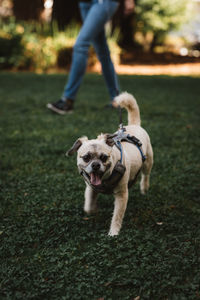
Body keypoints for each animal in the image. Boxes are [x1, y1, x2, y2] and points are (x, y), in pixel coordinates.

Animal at [67, 92, 153, 236]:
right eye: (86, 158)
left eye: (104, 157)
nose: (95, 165)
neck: (105, 180)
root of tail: (134, 125)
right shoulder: (90, 188)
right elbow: (88, 206)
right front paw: (94, 210)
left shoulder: (121, 196)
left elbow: (117, 216)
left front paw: (113, 233)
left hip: (148, 162)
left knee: (145, 175)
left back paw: (144, 188)